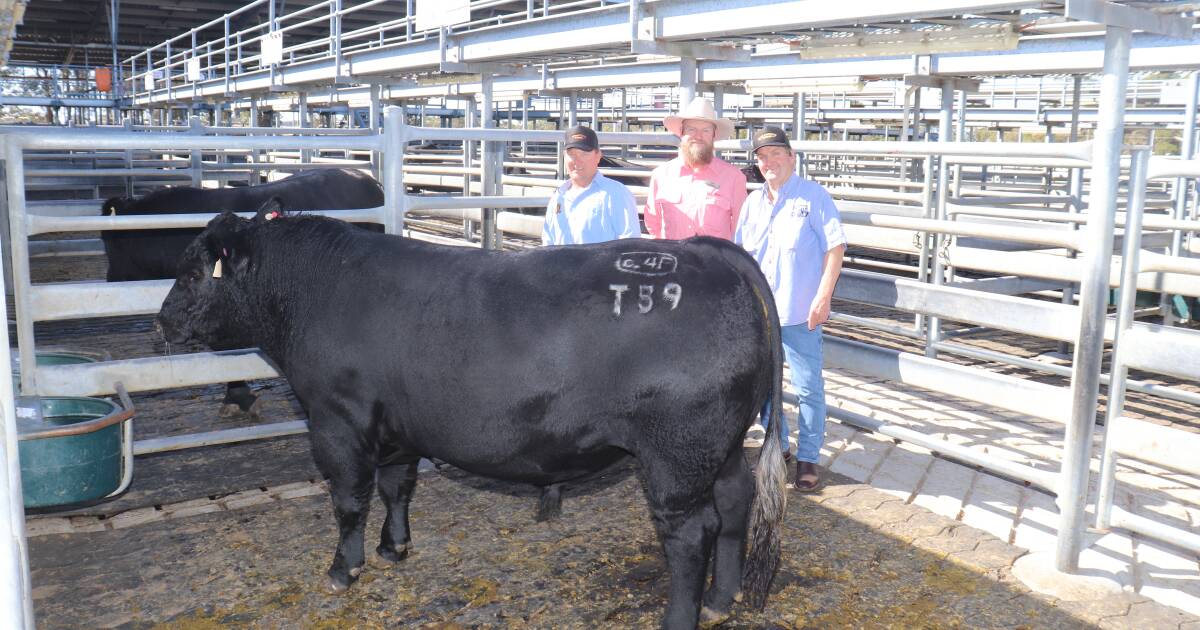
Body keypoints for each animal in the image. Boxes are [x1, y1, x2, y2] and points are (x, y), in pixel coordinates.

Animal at [154, 204, 792, 624]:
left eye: (193, 273)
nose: (161, 322)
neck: (311, 291)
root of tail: (703, 250)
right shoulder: (396, 425)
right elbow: (397, 486)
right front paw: (394, 548)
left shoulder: (337, 420)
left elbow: (349, 500)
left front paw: (343, 569)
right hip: (721, 444)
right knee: (734, 501)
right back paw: (722, 599)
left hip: (674, 455)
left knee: (689, 532)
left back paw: (682, 615)